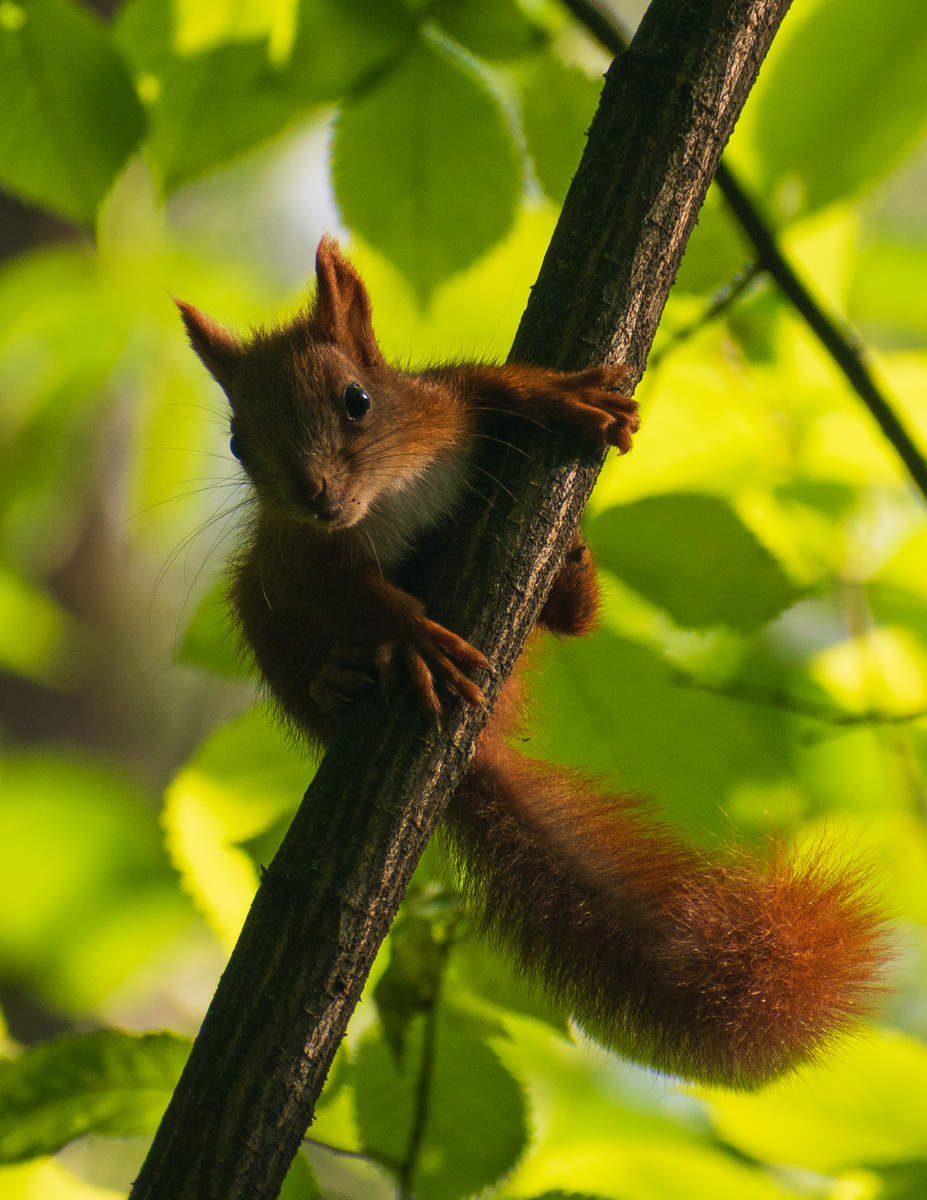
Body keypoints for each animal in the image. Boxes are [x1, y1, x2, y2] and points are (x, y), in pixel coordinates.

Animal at [177, 236, 886, 1088]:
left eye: (358, 399)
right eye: (237, 443)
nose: (312, 493)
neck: (385, 498)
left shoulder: (443, 406)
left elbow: (488, 385)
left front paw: (557, 394)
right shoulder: (306, 558)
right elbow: (358, 598)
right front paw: (406, 634)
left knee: (567, 623)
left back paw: (571, 583)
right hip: (256, 604)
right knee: (305, 677)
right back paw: (339, 680)